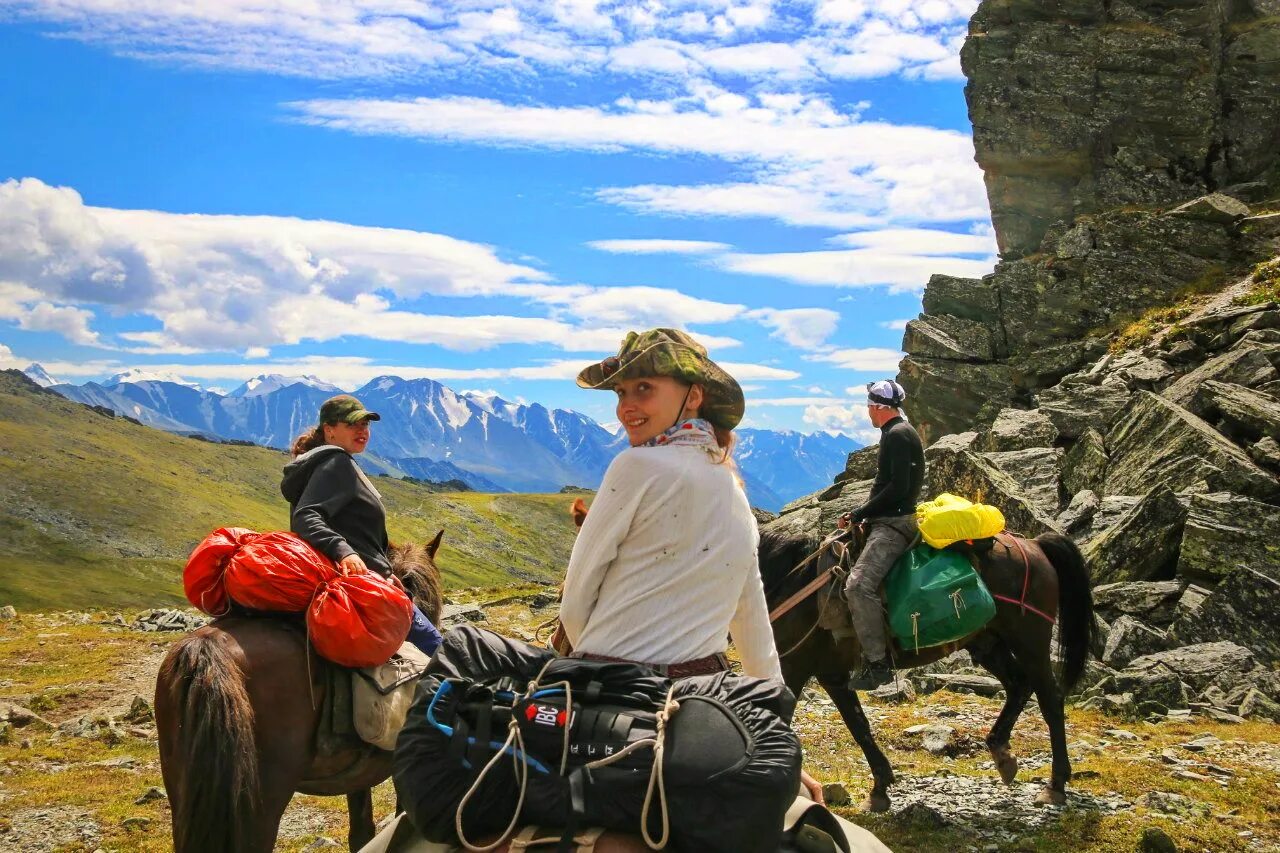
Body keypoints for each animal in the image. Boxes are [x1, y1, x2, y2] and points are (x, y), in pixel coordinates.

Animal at [752, 525, 1095, 809]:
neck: (791, 583)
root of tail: (1035, 545)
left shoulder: (793, 667)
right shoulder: (830, 674)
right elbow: (859, 726)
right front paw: (879, 789)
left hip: (1029, 641)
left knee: (1050, 700)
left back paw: (1055, 785)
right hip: (987, 643)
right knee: (1018, 686)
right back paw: (1002, 754)